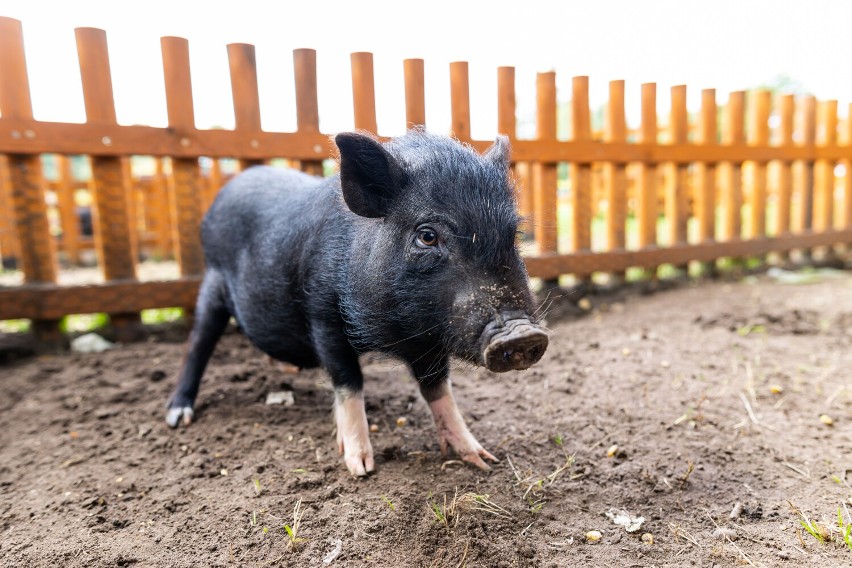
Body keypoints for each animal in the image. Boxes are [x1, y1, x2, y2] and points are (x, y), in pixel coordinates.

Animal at [166, 129, 548, 474]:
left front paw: (482, 459)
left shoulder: (429, 338)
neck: (392, 331)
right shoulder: (323, 317)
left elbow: (438, 388)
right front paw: (360, 467)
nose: (521, 333)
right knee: (198, 342)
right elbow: (348, 382)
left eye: (513, 234)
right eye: (427, 236)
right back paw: (177, 416)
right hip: (212, 283)